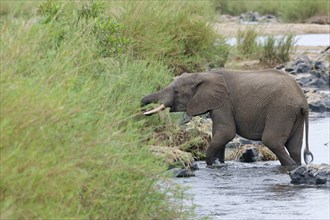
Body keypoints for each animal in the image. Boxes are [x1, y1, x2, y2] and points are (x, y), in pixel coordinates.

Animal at [141, 69, 314, 166]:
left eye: (176, 91)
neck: (202, 75)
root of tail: (303, 99)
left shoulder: (223, 103)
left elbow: (226, 132)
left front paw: (211, 163)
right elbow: (220, 134)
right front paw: (220, 163)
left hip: (281, 110)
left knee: (272, 140)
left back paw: (291, 167)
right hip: (293, 114)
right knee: (294, 146)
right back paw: (297, 166)